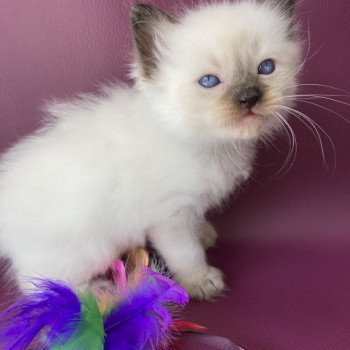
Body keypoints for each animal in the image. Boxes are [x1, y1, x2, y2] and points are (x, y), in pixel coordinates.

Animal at [0, 1, 300, 300]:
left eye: (266, 67)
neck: (202, 140)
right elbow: (188, 254)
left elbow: (196, 228)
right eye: (209, 82)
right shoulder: (170, 218)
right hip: (89, 251)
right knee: (36, 284)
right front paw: (202, 282)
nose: (249, 98)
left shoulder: (190, 207)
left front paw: (204, 234)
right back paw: (94, 294)